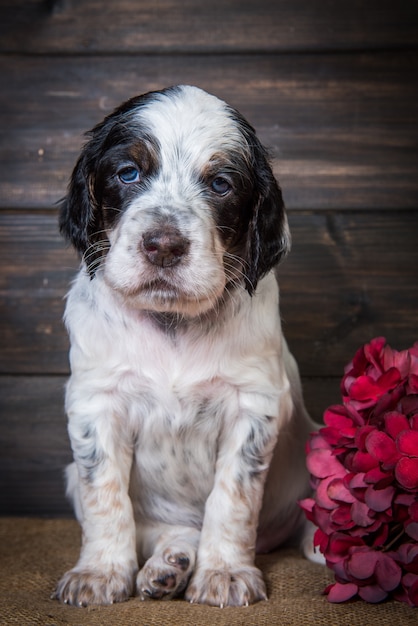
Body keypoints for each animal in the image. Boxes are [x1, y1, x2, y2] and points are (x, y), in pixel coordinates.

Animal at [54, 84, 316, 604]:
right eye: (128, 172)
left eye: (220, 184)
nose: (163, 245)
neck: (173, 322)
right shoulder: (96, 402)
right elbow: (104, 495)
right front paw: (99, 572)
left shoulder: (252, 406)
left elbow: (232, 498)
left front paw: (225, 573)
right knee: (166, 530)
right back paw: (168, 564)